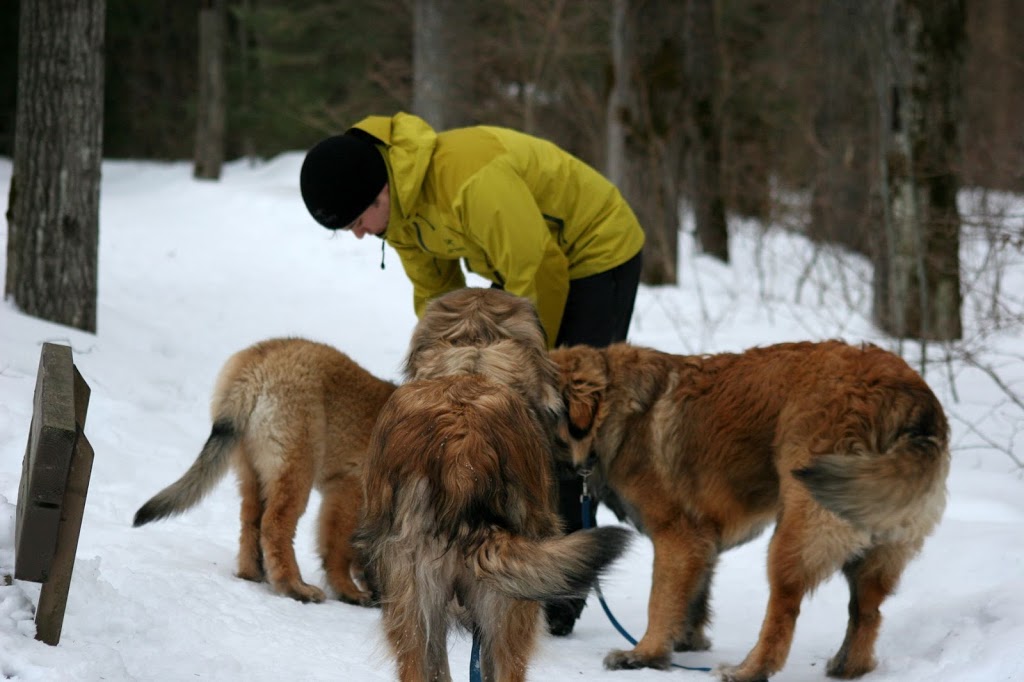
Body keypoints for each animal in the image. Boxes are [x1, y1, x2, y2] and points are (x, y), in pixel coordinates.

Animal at [134, 337, 393, 602]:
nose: (383, 599)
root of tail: (258, 360)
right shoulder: (348, 490)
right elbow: (338, 549)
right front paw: (348, 591)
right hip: (296, 468)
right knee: (274, 525)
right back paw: (294, 586)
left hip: (252, 468)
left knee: (250, 521)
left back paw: (253, 574)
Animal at [552, 339, 950, 679]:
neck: (612, 406)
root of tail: (907, 395)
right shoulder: (701, 543)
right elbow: (693, 596)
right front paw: (687, 641)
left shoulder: (677, 537)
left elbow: (661, 600)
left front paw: (645, 654)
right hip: (878, 540)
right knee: (866, 612)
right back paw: (849, 666)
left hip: (797, 532)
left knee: (784, 609)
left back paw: (749, 669)